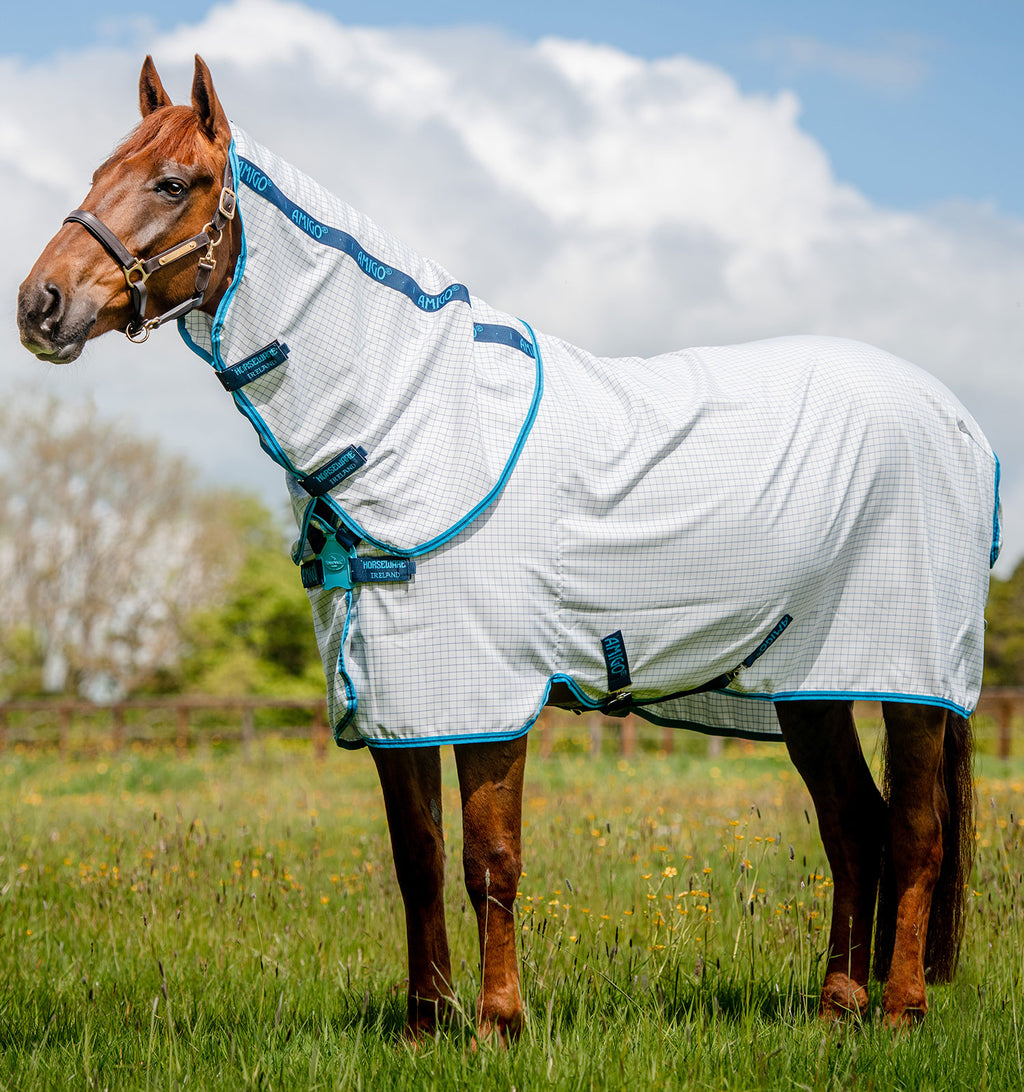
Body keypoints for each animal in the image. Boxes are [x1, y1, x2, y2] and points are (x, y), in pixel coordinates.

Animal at [18, 55, 997, 1039]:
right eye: (99, 171)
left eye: (173, 183)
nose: (39, 304)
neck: (416, 413)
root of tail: (957, 423)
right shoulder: (402, 688)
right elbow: (417, 858)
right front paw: (426, 1022)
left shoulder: (485, 687)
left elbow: (490, 858)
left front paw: (497, 1022)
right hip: (809, 684)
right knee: (853, 827)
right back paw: (836, 1009)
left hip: (907, 679)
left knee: (913, 832)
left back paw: (900, 1011)